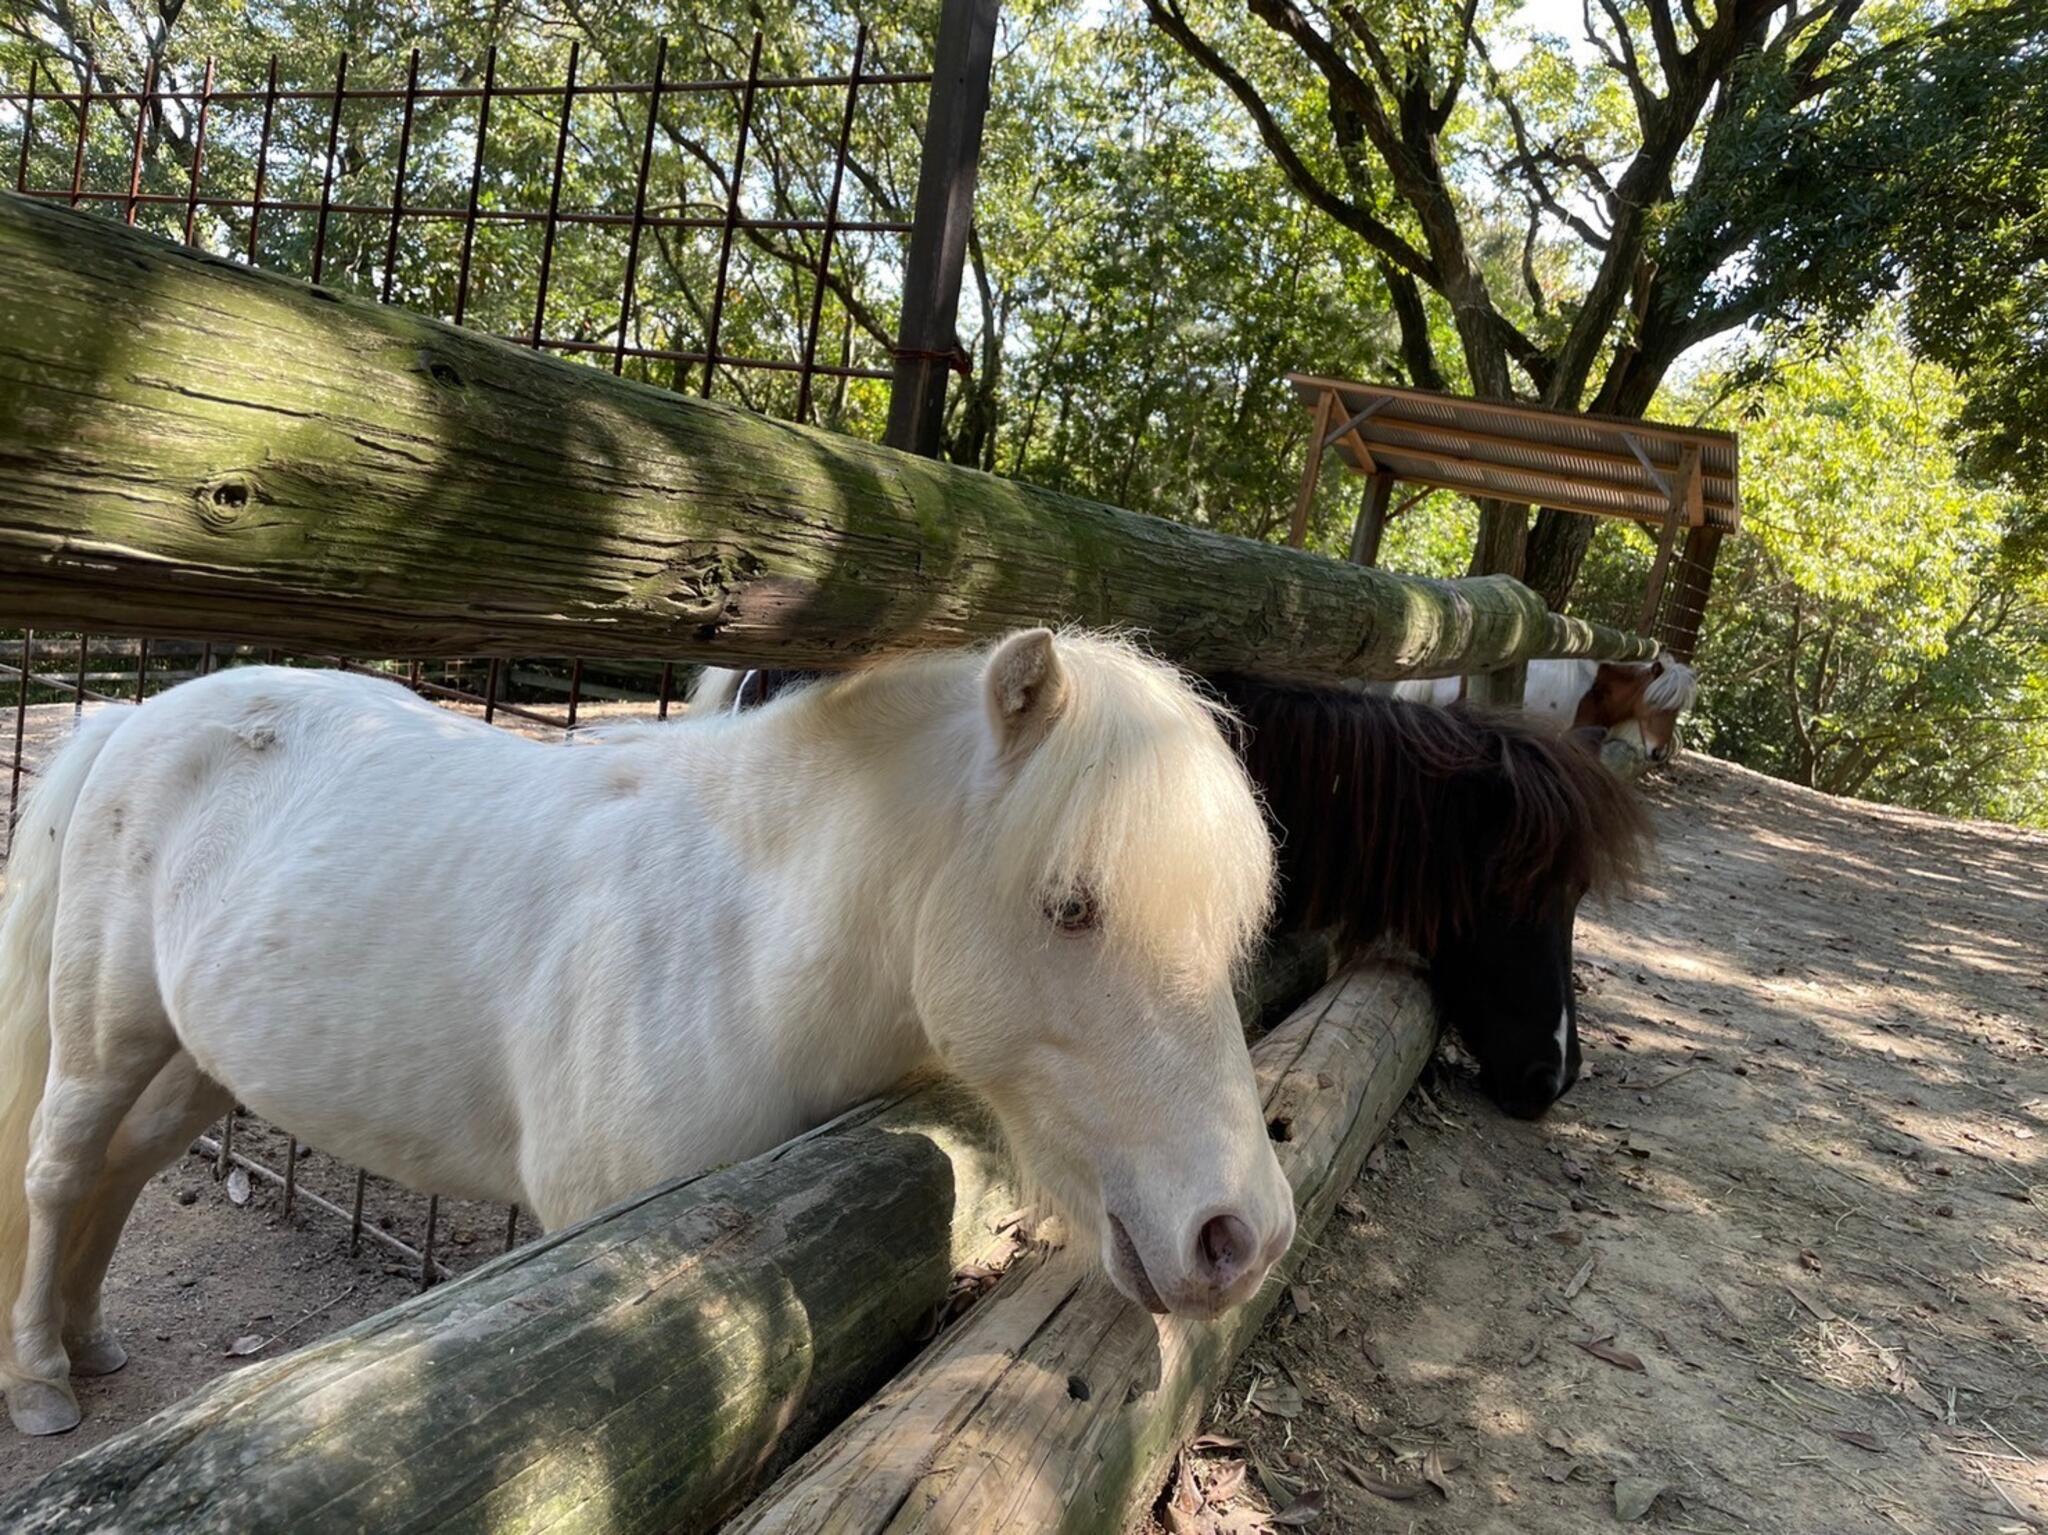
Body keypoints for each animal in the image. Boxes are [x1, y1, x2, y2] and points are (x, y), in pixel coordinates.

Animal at [0, 630, 1286, 1440]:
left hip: (198, 1063)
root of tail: (136, 713)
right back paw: (42, 1380)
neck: (738, 952)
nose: (1242, 1234)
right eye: (1069, 904)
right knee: (61, 1172)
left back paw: (91, 1337)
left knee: (122, 1171)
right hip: (105, 1037)